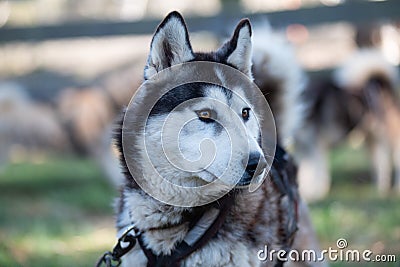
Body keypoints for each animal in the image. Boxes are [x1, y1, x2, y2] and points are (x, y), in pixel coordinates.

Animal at [294, 49, 400, 201]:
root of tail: (380, 83)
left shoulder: (314, 146)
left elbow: (314, 172)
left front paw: (314, 193)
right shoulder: (302, 148)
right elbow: (305, 172)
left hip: (389, 137)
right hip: (373, 139)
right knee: (382, 162)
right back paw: (379, 188)